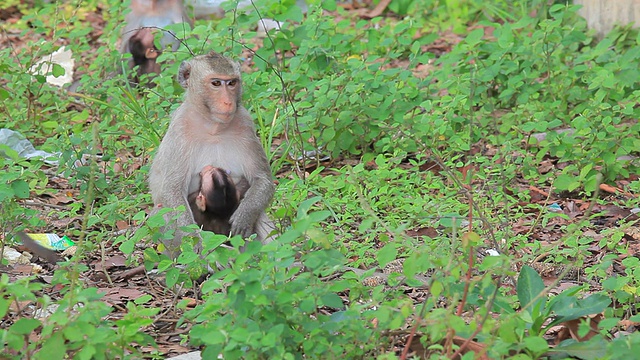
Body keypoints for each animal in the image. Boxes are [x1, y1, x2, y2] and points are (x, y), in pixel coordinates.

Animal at [149, 51, 276, 258]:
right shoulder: (180, 130)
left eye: (231, 83)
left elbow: (262, 180)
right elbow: (172, 191)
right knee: (162, 213)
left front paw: (245, 215)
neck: (212, 127)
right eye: (216, 83)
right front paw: (196, 242)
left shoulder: (245, 123)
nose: (228, 101)